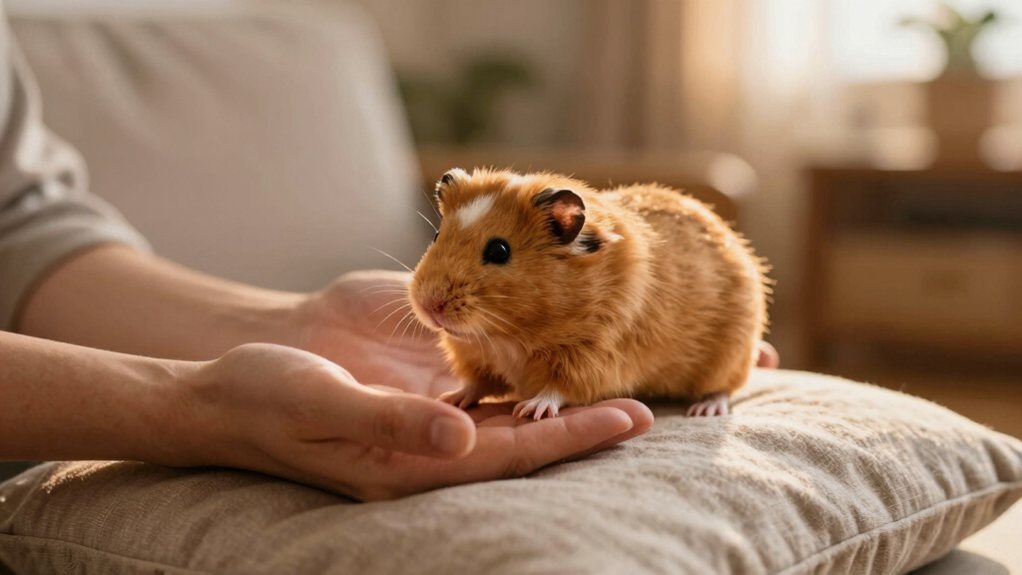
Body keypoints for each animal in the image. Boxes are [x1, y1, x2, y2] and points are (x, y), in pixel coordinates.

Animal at [409, 168, 769, 419]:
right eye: (438, 235)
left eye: (499, 251)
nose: (429, 305)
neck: (506, 336)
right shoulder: (475, 355)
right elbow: (476, 383)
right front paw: (450, 399)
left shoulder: (591, 356)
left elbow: (559, 388)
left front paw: (531, 410)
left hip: (731, 355)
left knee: (723, 389)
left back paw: (703, 410)